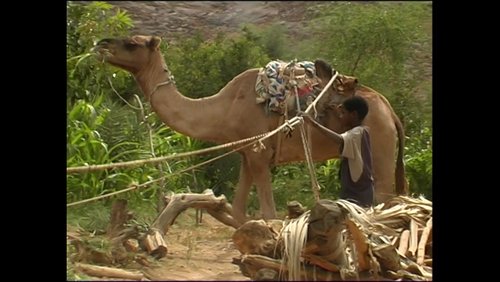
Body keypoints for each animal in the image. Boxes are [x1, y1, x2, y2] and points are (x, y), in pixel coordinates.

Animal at [93, 35, 406, 225]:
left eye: (133, 43)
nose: (102, 44)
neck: (224, 108)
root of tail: (391, 113)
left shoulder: (259, 153)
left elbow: (268, 213)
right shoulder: (247, 153)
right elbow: (239, 209)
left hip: (379, 144)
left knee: (385, 199)